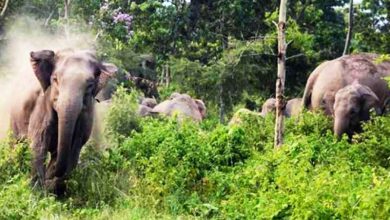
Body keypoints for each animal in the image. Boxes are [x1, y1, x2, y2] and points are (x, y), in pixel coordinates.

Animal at [9, 49, 117, 195]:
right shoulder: (42, 105)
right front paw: (37, 191)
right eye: (55, 79)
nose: (49, 178)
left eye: (90, 86)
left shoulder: (86, 116)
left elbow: (75, 148)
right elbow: (39, 144)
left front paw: (52, 187)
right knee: (16, 143)